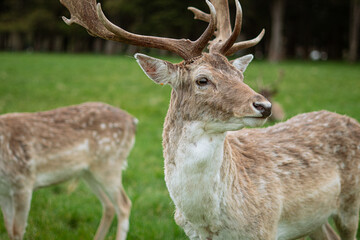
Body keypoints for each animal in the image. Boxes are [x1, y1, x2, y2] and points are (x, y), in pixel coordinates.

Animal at [0, 101, 137, 240]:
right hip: (88, 172)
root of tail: (133, 121)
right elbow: (9, 229)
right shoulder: (4, 191)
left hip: (109, 164)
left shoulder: (23, 181)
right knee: (109, 205)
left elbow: (17, 230)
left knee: (124, 204)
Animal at [60, 0, 360, 240]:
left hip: (351, 204)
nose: (264, 106)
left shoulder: (266, 226)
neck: (209, 222)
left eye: (240, 76)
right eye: (202, 80)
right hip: (315, 221)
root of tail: (351, 120)